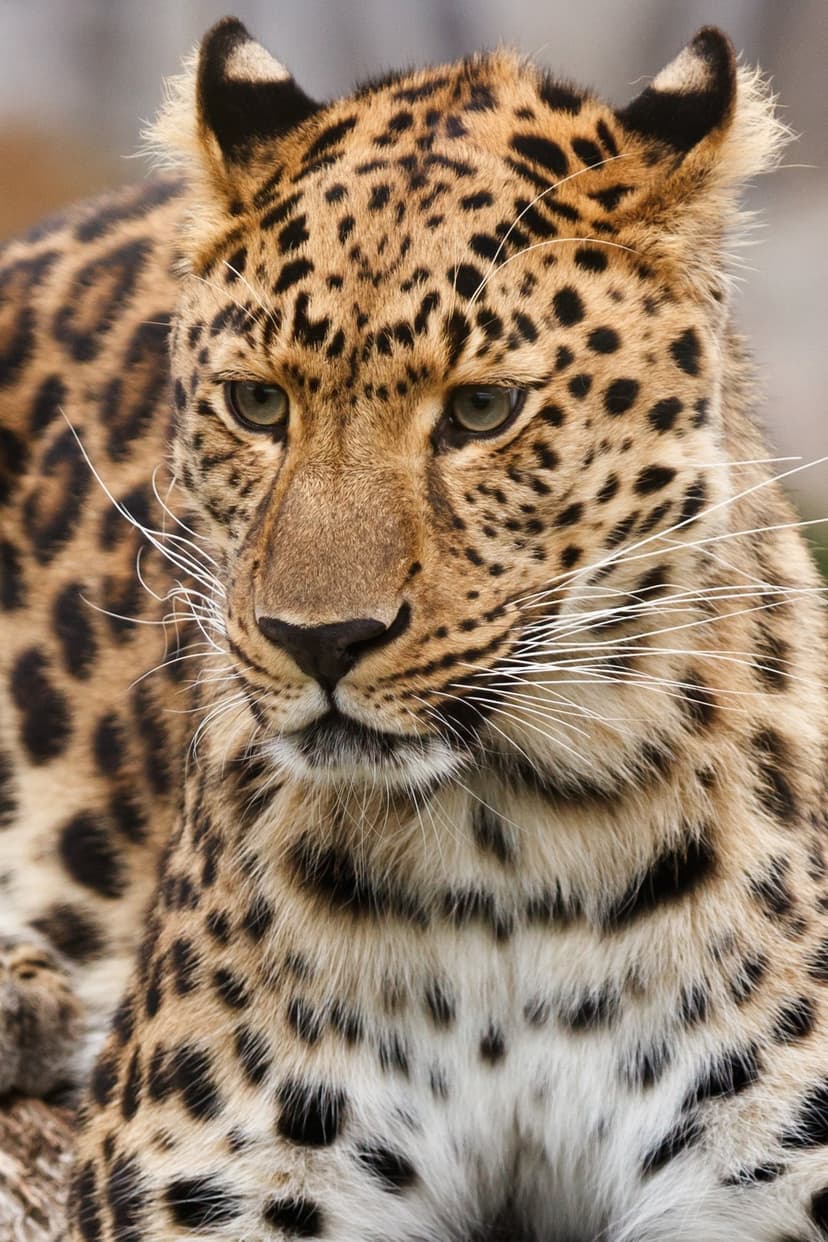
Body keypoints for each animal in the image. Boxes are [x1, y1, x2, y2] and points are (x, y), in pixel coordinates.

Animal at [1, 15, 827, 1241]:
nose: (320, 640)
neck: (511, 858)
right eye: (258, 404)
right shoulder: (217, 1177)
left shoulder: (766, 1176)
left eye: (482, 410)